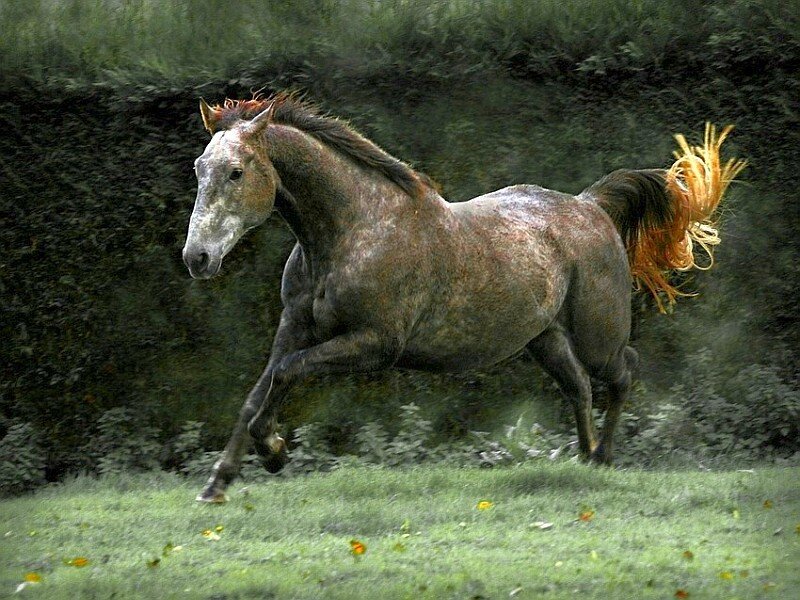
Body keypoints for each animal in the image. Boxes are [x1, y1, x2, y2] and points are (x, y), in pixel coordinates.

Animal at [182, 92, 745, 503]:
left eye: (236, 171)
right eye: (198, 167)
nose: (197, 258)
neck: (354, 230)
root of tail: (592, 206)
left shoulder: (375, 343)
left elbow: (286, 374)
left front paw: (274, 451)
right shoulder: (294, 326)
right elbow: (257, 393)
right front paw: (217, 484)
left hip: (597, 335)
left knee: (624, 371)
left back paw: (604, 457)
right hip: (545, 339)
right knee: (580, 388)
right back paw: (586, 459)